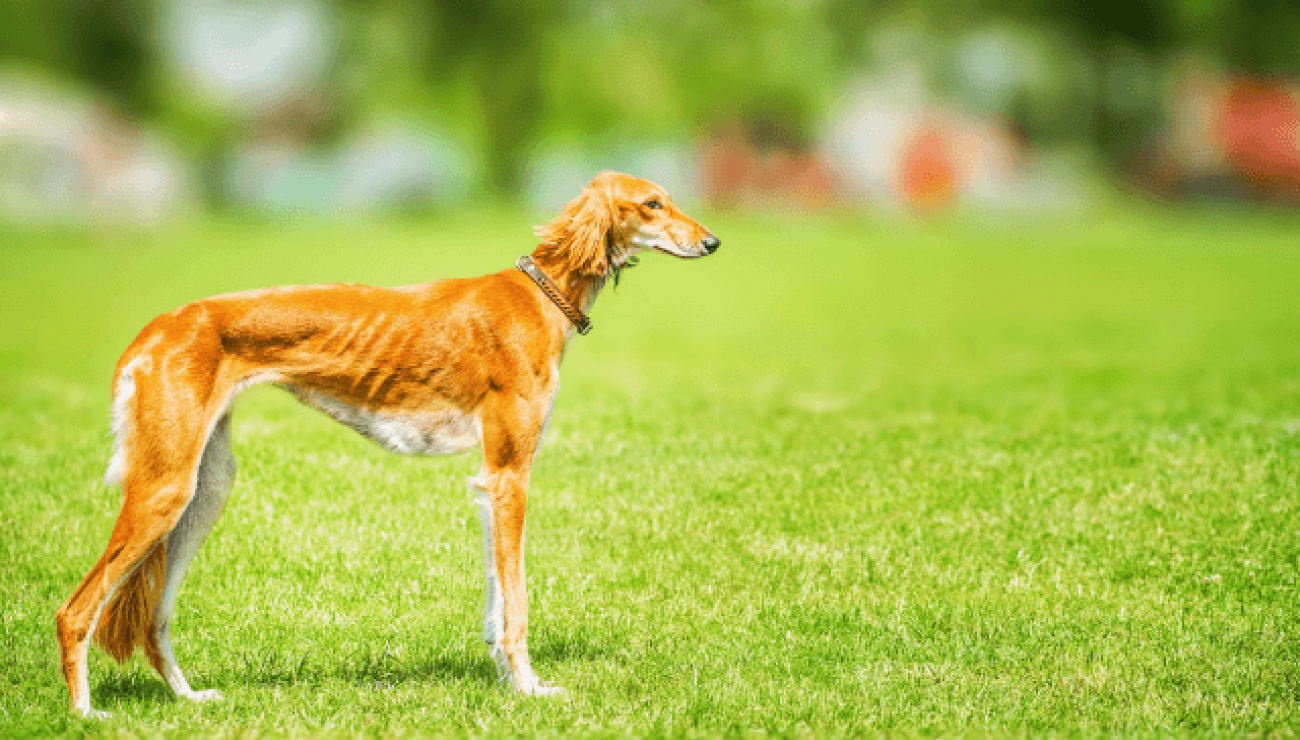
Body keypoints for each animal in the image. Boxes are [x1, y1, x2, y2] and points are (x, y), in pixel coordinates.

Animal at [53, 171, 722, 717]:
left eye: (668, 198)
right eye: (652, 203)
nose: (713, 243)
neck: (540, 294)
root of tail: (157, 328)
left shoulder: (488, 484)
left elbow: (495, 601)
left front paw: (507, 682)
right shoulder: (509, 475)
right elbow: (518, 602)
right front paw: (530, 689)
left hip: (203, 489)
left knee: (154, 620)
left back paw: (189, 698)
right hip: (164, 490)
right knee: (75, 611)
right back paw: (85, 713)